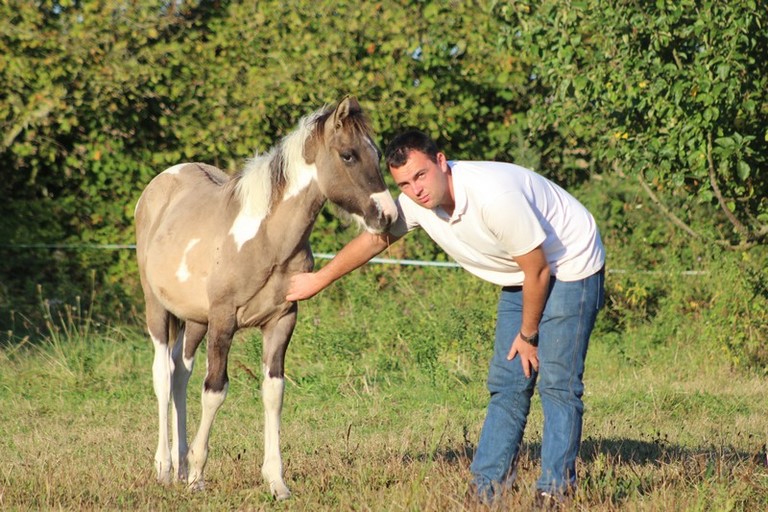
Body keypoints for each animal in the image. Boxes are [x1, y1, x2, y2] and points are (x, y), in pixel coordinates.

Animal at [134, 96, 397, 499]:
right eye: (349, 155)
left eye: (378, 153)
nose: (387, 215)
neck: (267, 241)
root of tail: (161, 184)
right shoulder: (223, 320)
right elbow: (215, 390)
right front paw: (197, 474)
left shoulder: (281, 321)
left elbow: (274, 392)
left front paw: (276, 482)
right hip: (158, 311)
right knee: (163, 376)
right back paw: (166, 467)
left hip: (194, 321)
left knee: (180, 375)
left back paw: (178, 466)